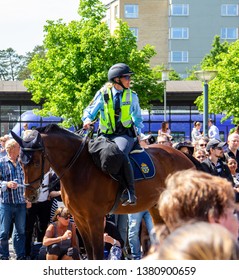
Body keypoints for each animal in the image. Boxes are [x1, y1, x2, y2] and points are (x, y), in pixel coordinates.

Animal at [11, 124, 194, 260]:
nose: (30, 196)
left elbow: (98, 254)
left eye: (36, 162)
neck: (80, 168)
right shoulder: (80, 220)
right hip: (156, 208)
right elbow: (90, 253)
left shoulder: (95, 219)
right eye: (20, 162)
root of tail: (184, 157)